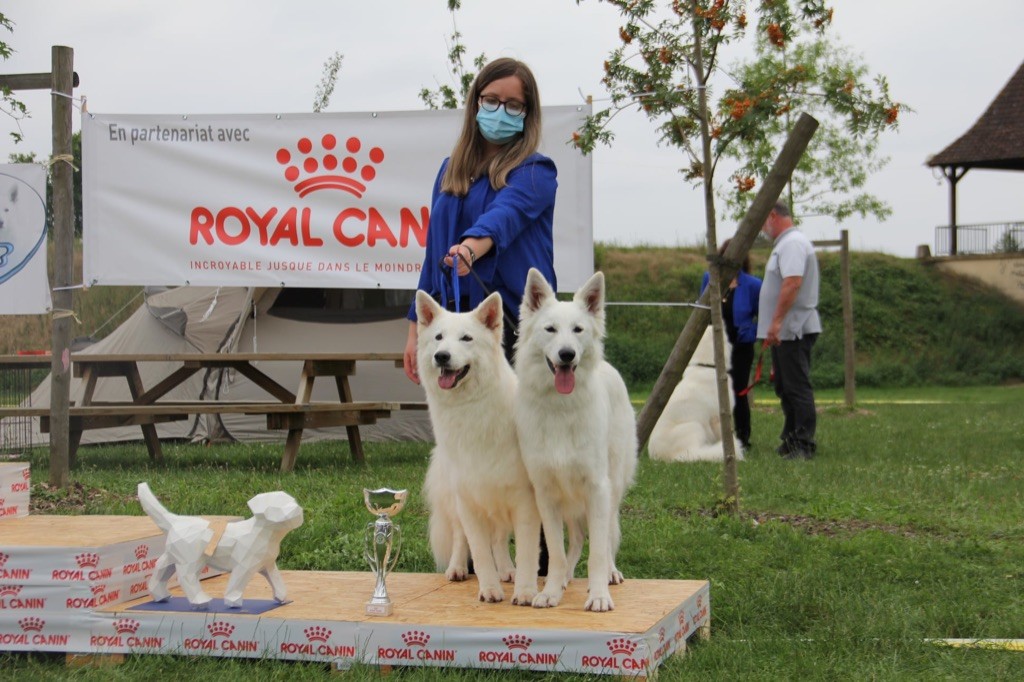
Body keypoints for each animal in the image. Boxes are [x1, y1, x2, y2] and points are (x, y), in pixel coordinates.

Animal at [415, 288, 544, 602]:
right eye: (438, 337)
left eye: (466, 338)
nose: (441, 356)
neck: (472, 410)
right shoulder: (468, 499)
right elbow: (479, 550)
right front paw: (488, 590)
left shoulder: (524, 500)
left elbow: (525, 551)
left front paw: (524, 591)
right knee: (462, 537)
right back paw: (458, 568)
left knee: (499, 539)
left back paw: (507, 571)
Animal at [516, 266, 634, 610]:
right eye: (551, 329)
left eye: (578, 330)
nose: (567, 355)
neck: (560, 408)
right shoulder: (546, 494)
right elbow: (556, 551)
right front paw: (551, 590)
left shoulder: (597, 487)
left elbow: (598, 551)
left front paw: (598, 595)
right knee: (579, 537)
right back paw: (567, 577)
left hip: (611, 489)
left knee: (606, 537)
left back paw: (609, 574)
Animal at [651, 323, 749, 462]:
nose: (736, 327)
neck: (707, 366)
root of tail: (657, 456)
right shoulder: (718, 418)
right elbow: (727, 437)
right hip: (694, 426)